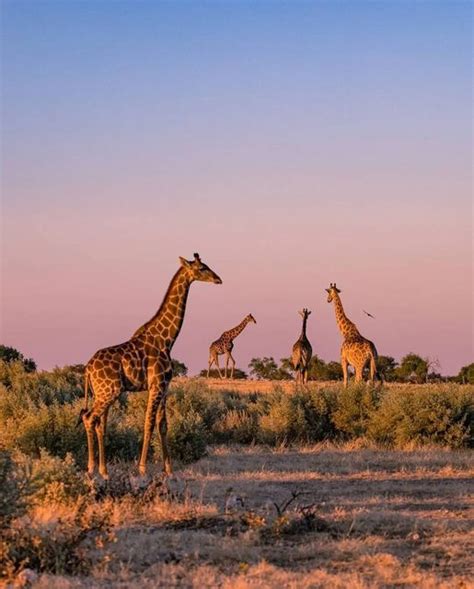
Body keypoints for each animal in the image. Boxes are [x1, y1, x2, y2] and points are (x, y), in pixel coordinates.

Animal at [79, 253, 222, 478]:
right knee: (89, 418)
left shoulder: (165, 386)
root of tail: (87, 369)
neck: (167, 339)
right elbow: (148, 423)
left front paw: (168, 469)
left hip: (100, 392)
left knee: (99, 423)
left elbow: (162, 424)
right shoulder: (156, 385)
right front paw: (143, 468)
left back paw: (104, 470)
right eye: (202, 268)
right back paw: (92, 468)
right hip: (110, 391)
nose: (218, 279)